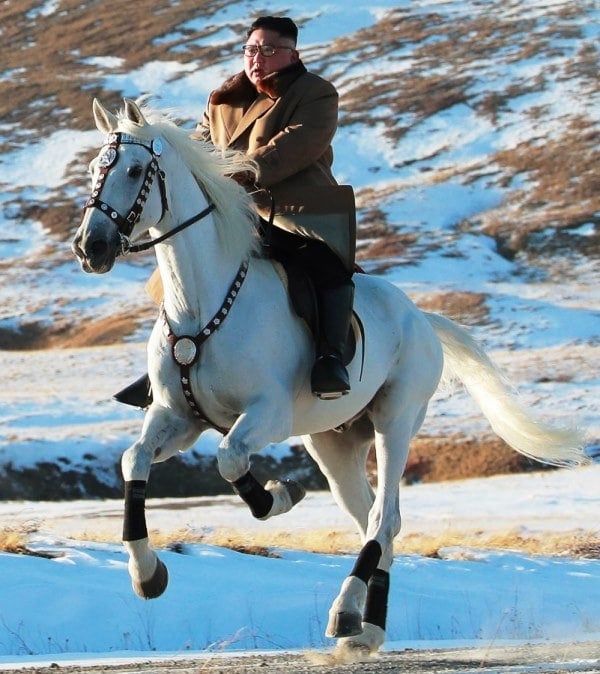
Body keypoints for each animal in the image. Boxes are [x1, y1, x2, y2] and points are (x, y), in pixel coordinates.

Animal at [72, 98, 587, 655]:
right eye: (94, 169)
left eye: (135, 170)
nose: (90, 247)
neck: (201, 305)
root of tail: (421, 318)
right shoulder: (178, 417)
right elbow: (134, 460)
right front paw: (147, 573)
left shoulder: (267, 414)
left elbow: (230, 459)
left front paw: (278, 495)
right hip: (334, 444)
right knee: (376, 524)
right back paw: (367, 628)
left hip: (395, 421)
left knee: (383, 518)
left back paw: (345, 614)